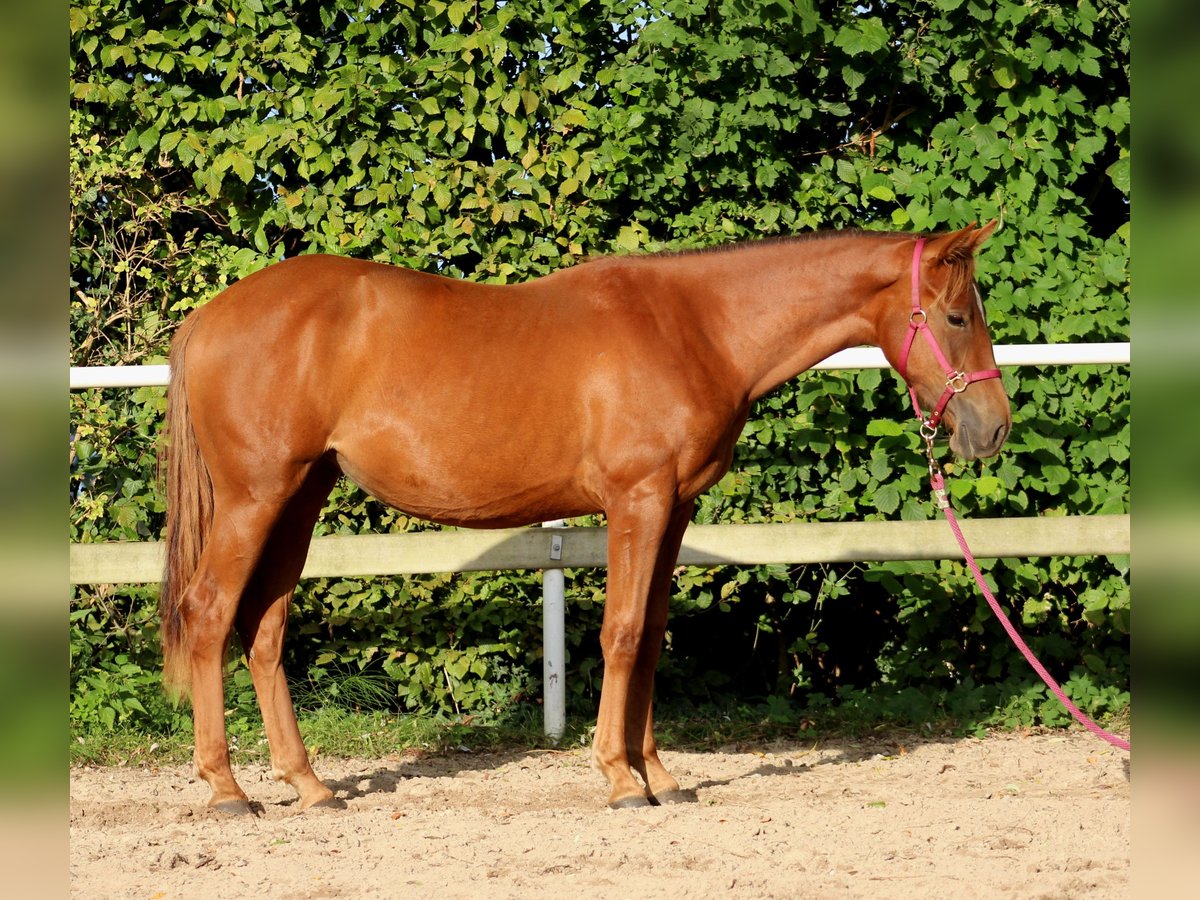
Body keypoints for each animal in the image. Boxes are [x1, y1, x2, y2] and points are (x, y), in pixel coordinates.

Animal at [157, 224, 1003, 811]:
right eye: (957, 317)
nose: (993, 429)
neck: (695, 327)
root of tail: (212, 315)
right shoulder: (638, 499)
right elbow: (622, 633)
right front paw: (620, 779)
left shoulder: (675, 506)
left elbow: (652, 635)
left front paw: (658, 774)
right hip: (256, 497)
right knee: (209, 612)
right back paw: (227, 791)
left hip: (300, 497)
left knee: (263, 629)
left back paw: (310, 786)